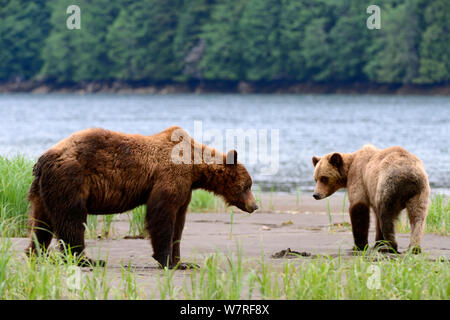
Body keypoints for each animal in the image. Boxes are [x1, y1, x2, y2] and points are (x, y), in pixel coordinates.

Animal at [28, 126, 258, 268]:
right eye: (247, 185)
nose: (254, 206)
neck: (194, 168)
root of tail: (43, 159)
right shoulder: (170, 176)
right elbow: (162, 215)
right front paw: (166, 260)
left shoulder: (186, 190)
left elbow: (179, 222)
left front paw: (182, 262)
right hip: (71, 179)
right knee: (72, 219)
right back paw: (87, 260)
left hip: (43, 191)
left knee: (41, 222)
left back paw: (35, 253)